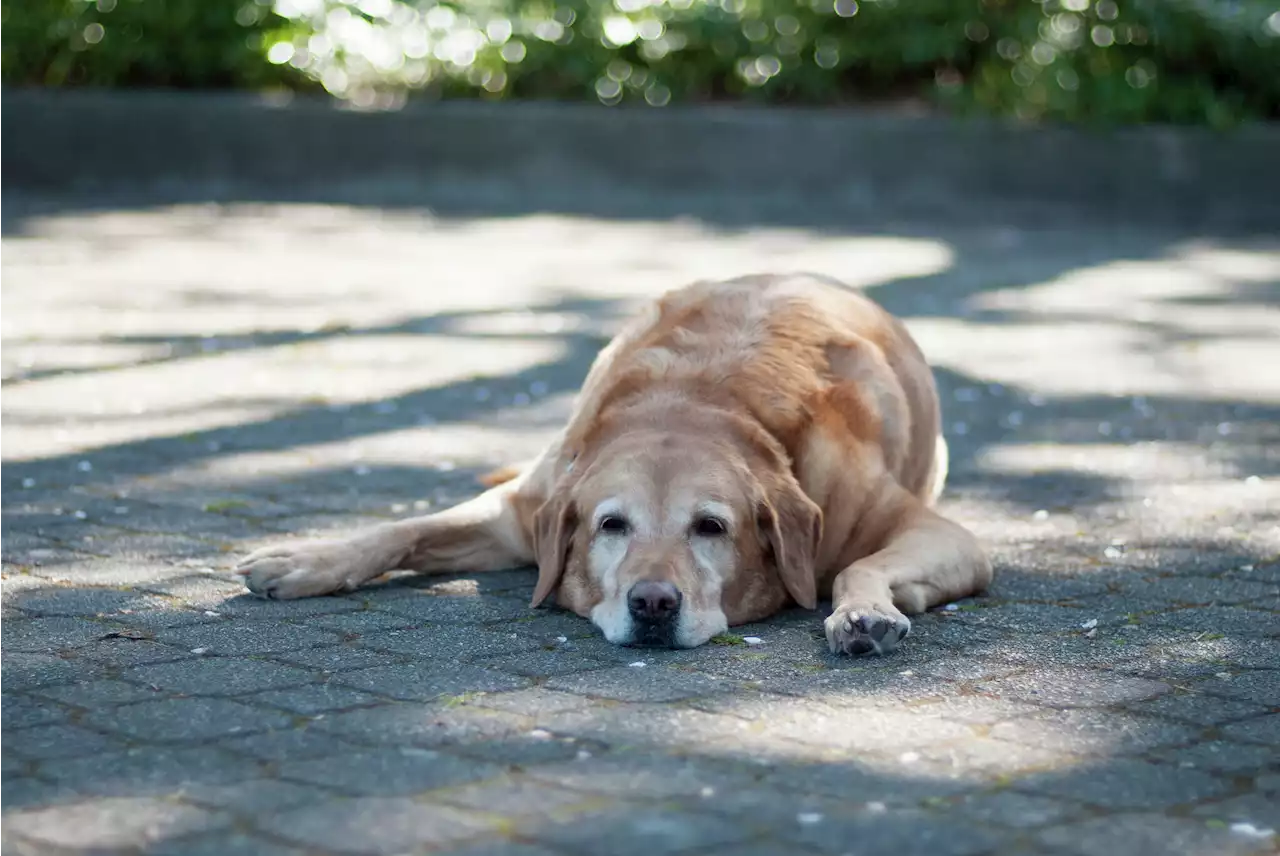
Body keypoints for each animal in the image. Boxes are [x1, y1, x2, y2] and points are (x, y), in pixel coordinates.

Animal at [241, 273, 998, 655]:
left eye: (710, 528)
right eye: (612, 525)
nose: (653, 604)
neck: (695, 400)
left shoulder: (941, 534)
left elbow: (857, 566)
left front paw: (863, 612)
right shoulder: (523, 511)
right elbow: (403, 529)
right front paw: (308, 558)